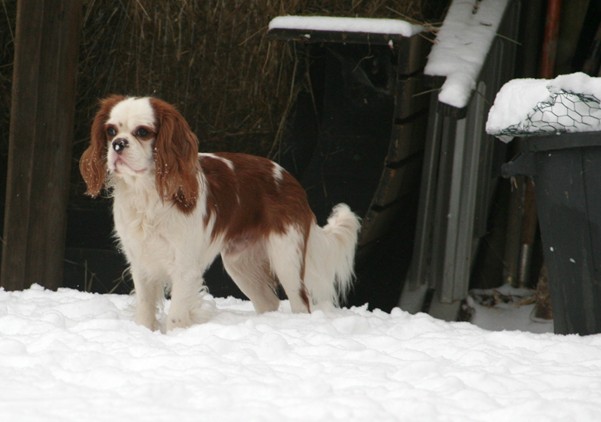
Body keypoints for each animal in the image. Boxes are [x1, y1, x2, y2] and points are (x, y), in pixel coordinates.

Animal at [80, 96, 360, 332]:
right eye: (111, 131)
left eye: (142, 132)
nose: (118, 144)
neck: (147, 192)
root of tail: (293, 183)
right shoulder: (141, 263)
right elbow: (145, 309)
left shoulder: (185, 267)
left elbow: (176, 315)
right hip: (240, 264)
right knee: (269, 302)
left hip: (287, 258)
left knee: (301, 302)